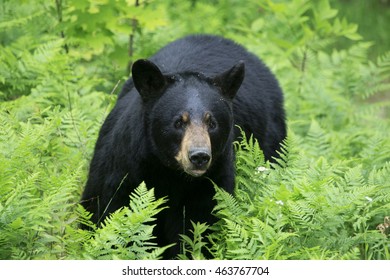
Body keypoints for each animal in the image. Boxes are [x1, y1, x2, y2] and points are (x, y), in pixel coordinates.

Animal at [80, 34, 284, 260]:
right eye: (178, 122)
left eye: (212, 122)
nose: (199, 156)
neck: (169, 173)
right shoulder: (122, 170)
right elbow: (106, 212)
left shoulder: (211, 184)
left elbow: (198, 230)